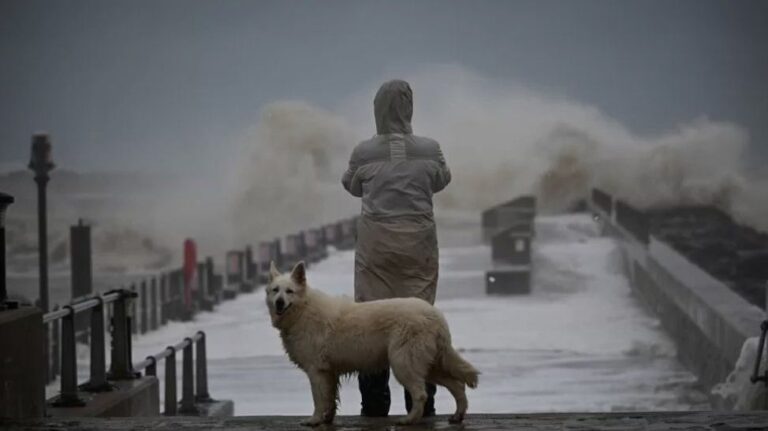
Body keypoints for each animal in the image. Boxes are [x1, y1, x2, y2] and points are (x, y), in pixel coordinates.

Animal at [268, 262, 476, 426]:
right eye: (275, 290)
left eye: (289, 291)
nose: (279, 303)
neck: (303, 309)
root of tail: (436, 315)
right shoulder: (329, 372)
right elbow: (330, 400)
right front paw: (327, 419)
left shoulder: (316, 371)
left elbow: (319, 400)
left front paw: (314, 420)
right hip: (429, 366)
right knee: (457, 385)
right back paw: (458, 415)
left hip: (403, 364)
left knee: (421, 394)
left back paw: (409, 420)